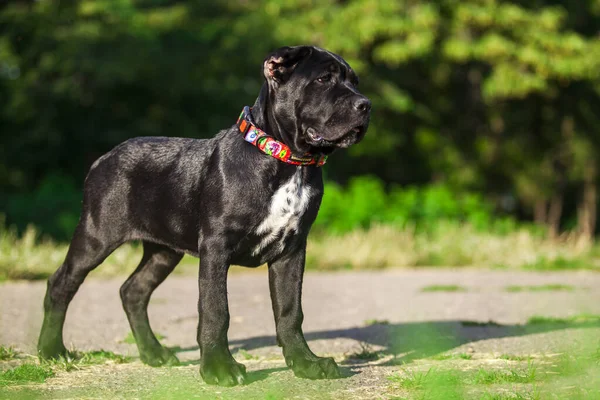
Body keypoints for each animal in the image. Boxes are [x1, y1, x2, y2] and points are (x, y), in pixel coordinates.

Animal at [37, 45, 370, 386]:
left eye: (355, 83)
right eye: (323, 79)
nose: (365, 105)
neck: (288, 160)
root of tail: (103, 158)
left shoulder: (292, 249)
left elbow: (290, 311)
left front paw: (305, 363)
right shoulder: (216, 246)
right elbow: (215, 309)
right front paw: (219, 367)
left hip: (164, 251)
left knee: (133, 291)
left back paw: (154, 353)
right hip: (96, 236)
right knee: (61, 284)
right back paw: (52, 351)